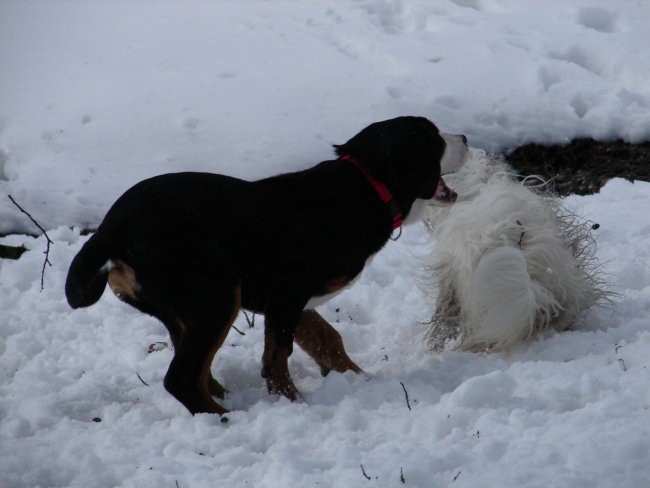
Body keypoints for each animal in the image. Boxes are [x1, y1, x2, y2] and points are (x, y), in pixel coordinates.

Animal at [64, 115, 456, 416]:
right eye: (435, 138)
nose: (464, 137)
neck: (363, 188)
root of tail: (111, 227)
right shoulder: (288, 289)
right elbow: (278, 355)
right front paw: (291, 402)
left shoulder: (286, 298)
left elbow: (325, 338)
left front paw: (357, 378)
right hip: (217, 297)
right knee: (182, 378)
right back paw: (224, 418)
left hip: (187, 310)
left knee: (198, 369)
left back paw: (224, 398)